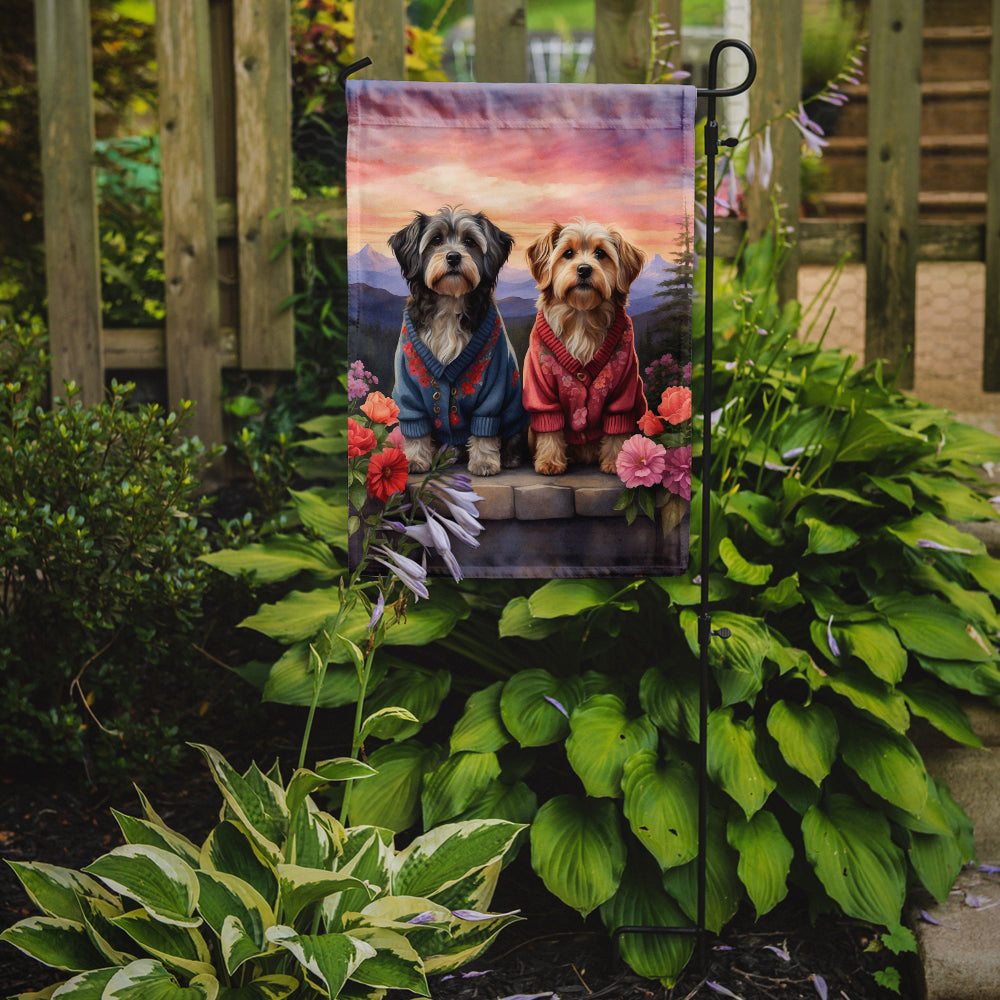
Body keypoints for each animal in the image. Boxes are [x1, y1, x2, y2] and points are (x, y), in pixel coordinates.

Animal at [520, 220, 652, 476]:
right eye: (568, 253)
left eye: (600, 253)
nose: (583, 269)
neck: (581, 316)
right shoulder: (541, 388)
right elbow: (550, 425)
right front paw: (549, 462)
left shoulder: (624, 389)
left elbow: (617, 428)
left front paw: (617, 461)